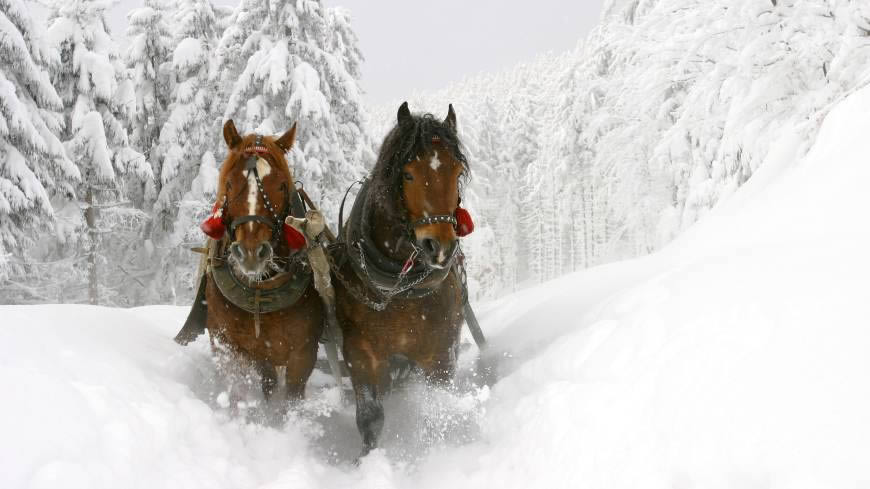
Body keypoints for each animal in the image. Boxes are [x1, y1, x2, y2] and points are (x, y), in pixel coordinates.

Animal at [199, 122, 326, 404]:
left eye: (281, 186)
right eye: (230, 183)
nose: (250, 252)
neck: (260, 291)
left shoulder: (303, 354)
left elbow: (291, 400)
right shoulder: (226, 344)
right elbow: (236, 391)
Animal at [332, 102, 474, 454]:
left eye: (457, 172)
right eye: (408, 174)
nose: (440, 246)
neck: (399, 289)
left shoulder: (440, 354)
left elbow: (437, 410)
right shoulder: (361, 353)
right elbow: (370, 418)